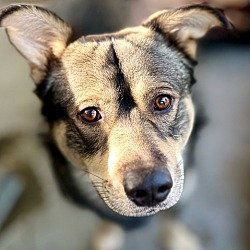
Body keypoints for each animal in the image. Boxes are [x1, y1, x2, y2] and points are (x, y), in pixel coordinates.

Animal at [0, 2, 231, 249]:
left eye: (162, 101)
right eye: (90, 114)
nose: (150, 189)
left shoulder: (186, 183)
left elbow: (174, 215)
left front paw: (179, 240)